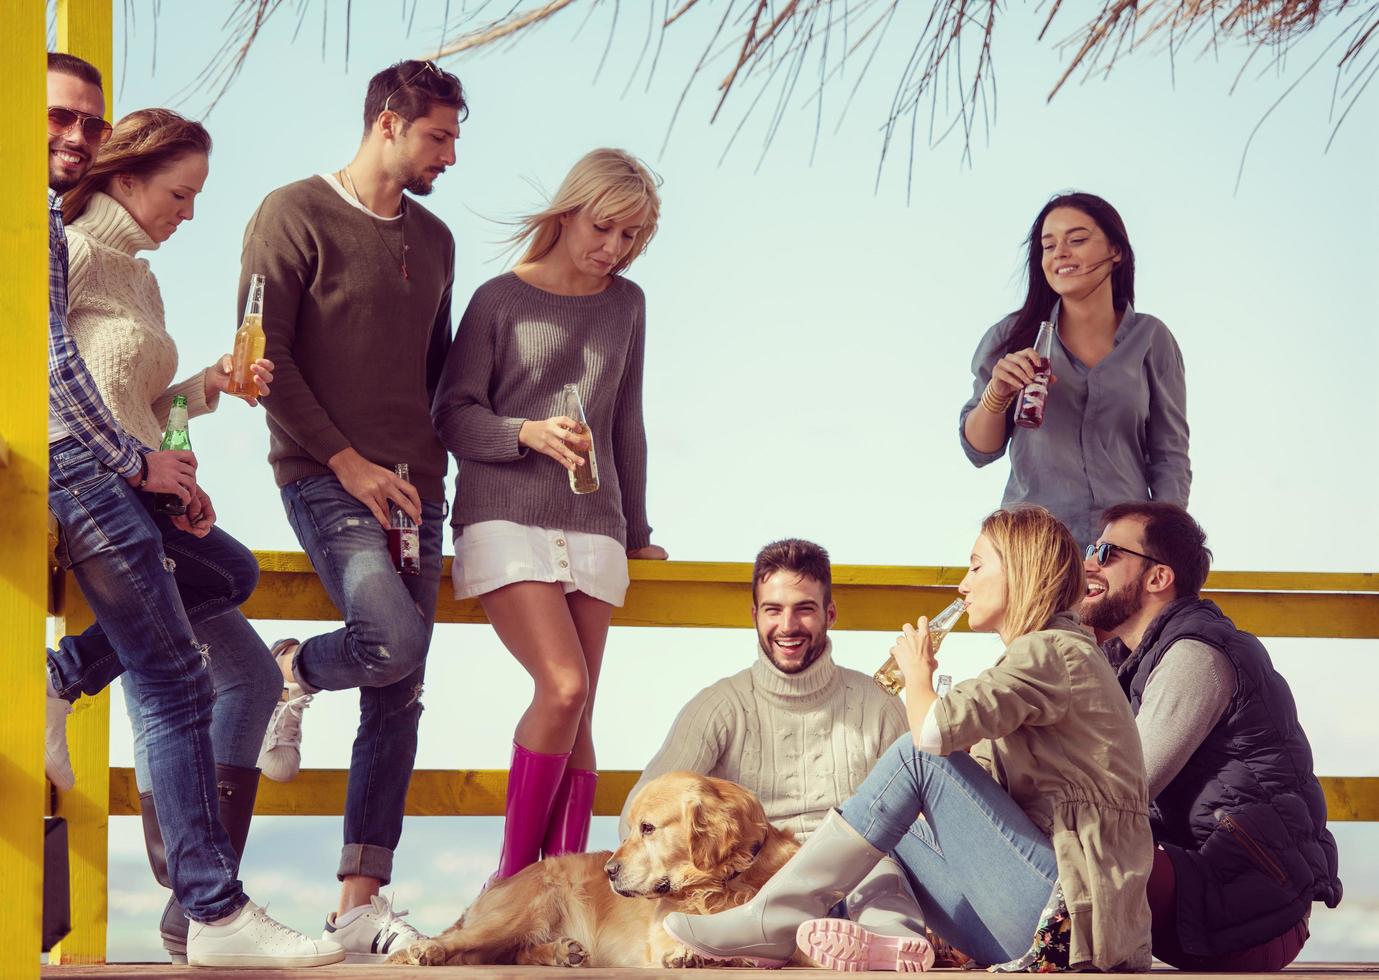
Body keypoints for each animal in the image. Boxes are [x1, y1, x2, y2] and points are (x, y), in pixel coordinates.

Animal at [386, 771, 799, 964]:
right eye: (632, 828)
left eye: (648, 828)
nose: (609, 871)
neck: (723, 883)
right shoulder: (661, 933)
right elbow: (678, 943)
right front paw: (687, 955)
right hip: (520, 912)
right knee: (457, 941)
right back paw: (422, 951)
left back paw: (562, 952)